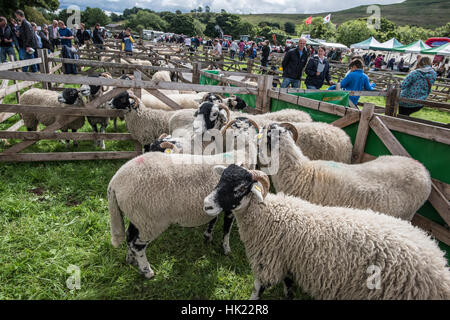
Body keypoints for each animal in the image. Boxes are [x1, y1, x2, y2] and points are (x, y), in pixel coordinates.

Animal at [107, 148, 255, 278]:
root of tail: (114, 182)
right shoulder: (231, 206)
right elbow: (226, 229)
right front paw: (226, 249)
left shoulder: (214, 204)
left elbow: (213, 219)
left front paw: (208, 236)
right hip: (150, 220)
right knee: (137, 245)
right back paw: (147, 271)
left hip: (137, 217)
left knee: (129, 237)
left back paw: (131, 259)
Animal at [203, 165, 450, 300]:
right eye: (220, 179)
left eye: (240, 189)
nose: (206, 205)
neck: (269, 215)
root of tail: (440, 267)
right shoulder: (289, 261)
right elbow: (289, 286)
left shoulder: (268, 262)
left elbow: (257, 289)